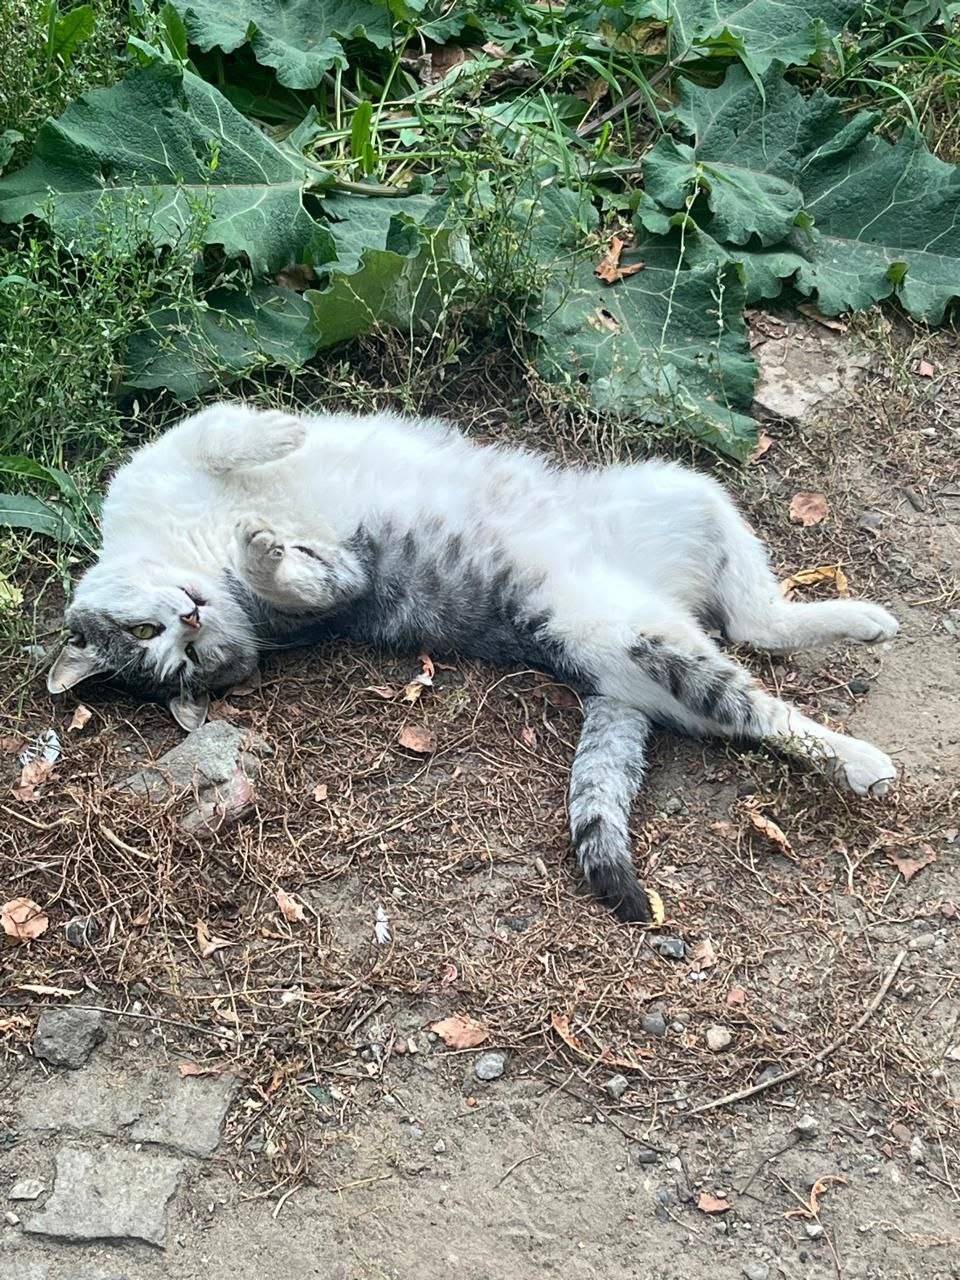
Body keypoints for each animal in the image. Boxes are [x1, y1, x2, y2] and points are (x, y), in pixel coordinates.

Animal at [47, 402, 899, 922]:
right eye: (181, 653)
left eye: (165, 635)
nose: (193, 616)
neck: (196, 550)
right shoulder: (341, 582)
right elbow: (293, 569)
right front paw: (264, 543)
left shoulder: (181, 465)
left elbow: (225, 432)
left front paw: (280, 441)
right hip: (651, 641)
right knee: (757, 702)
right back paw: (863, 761)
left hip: (687, 490)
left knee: (762, 617)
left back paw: (860, 618)